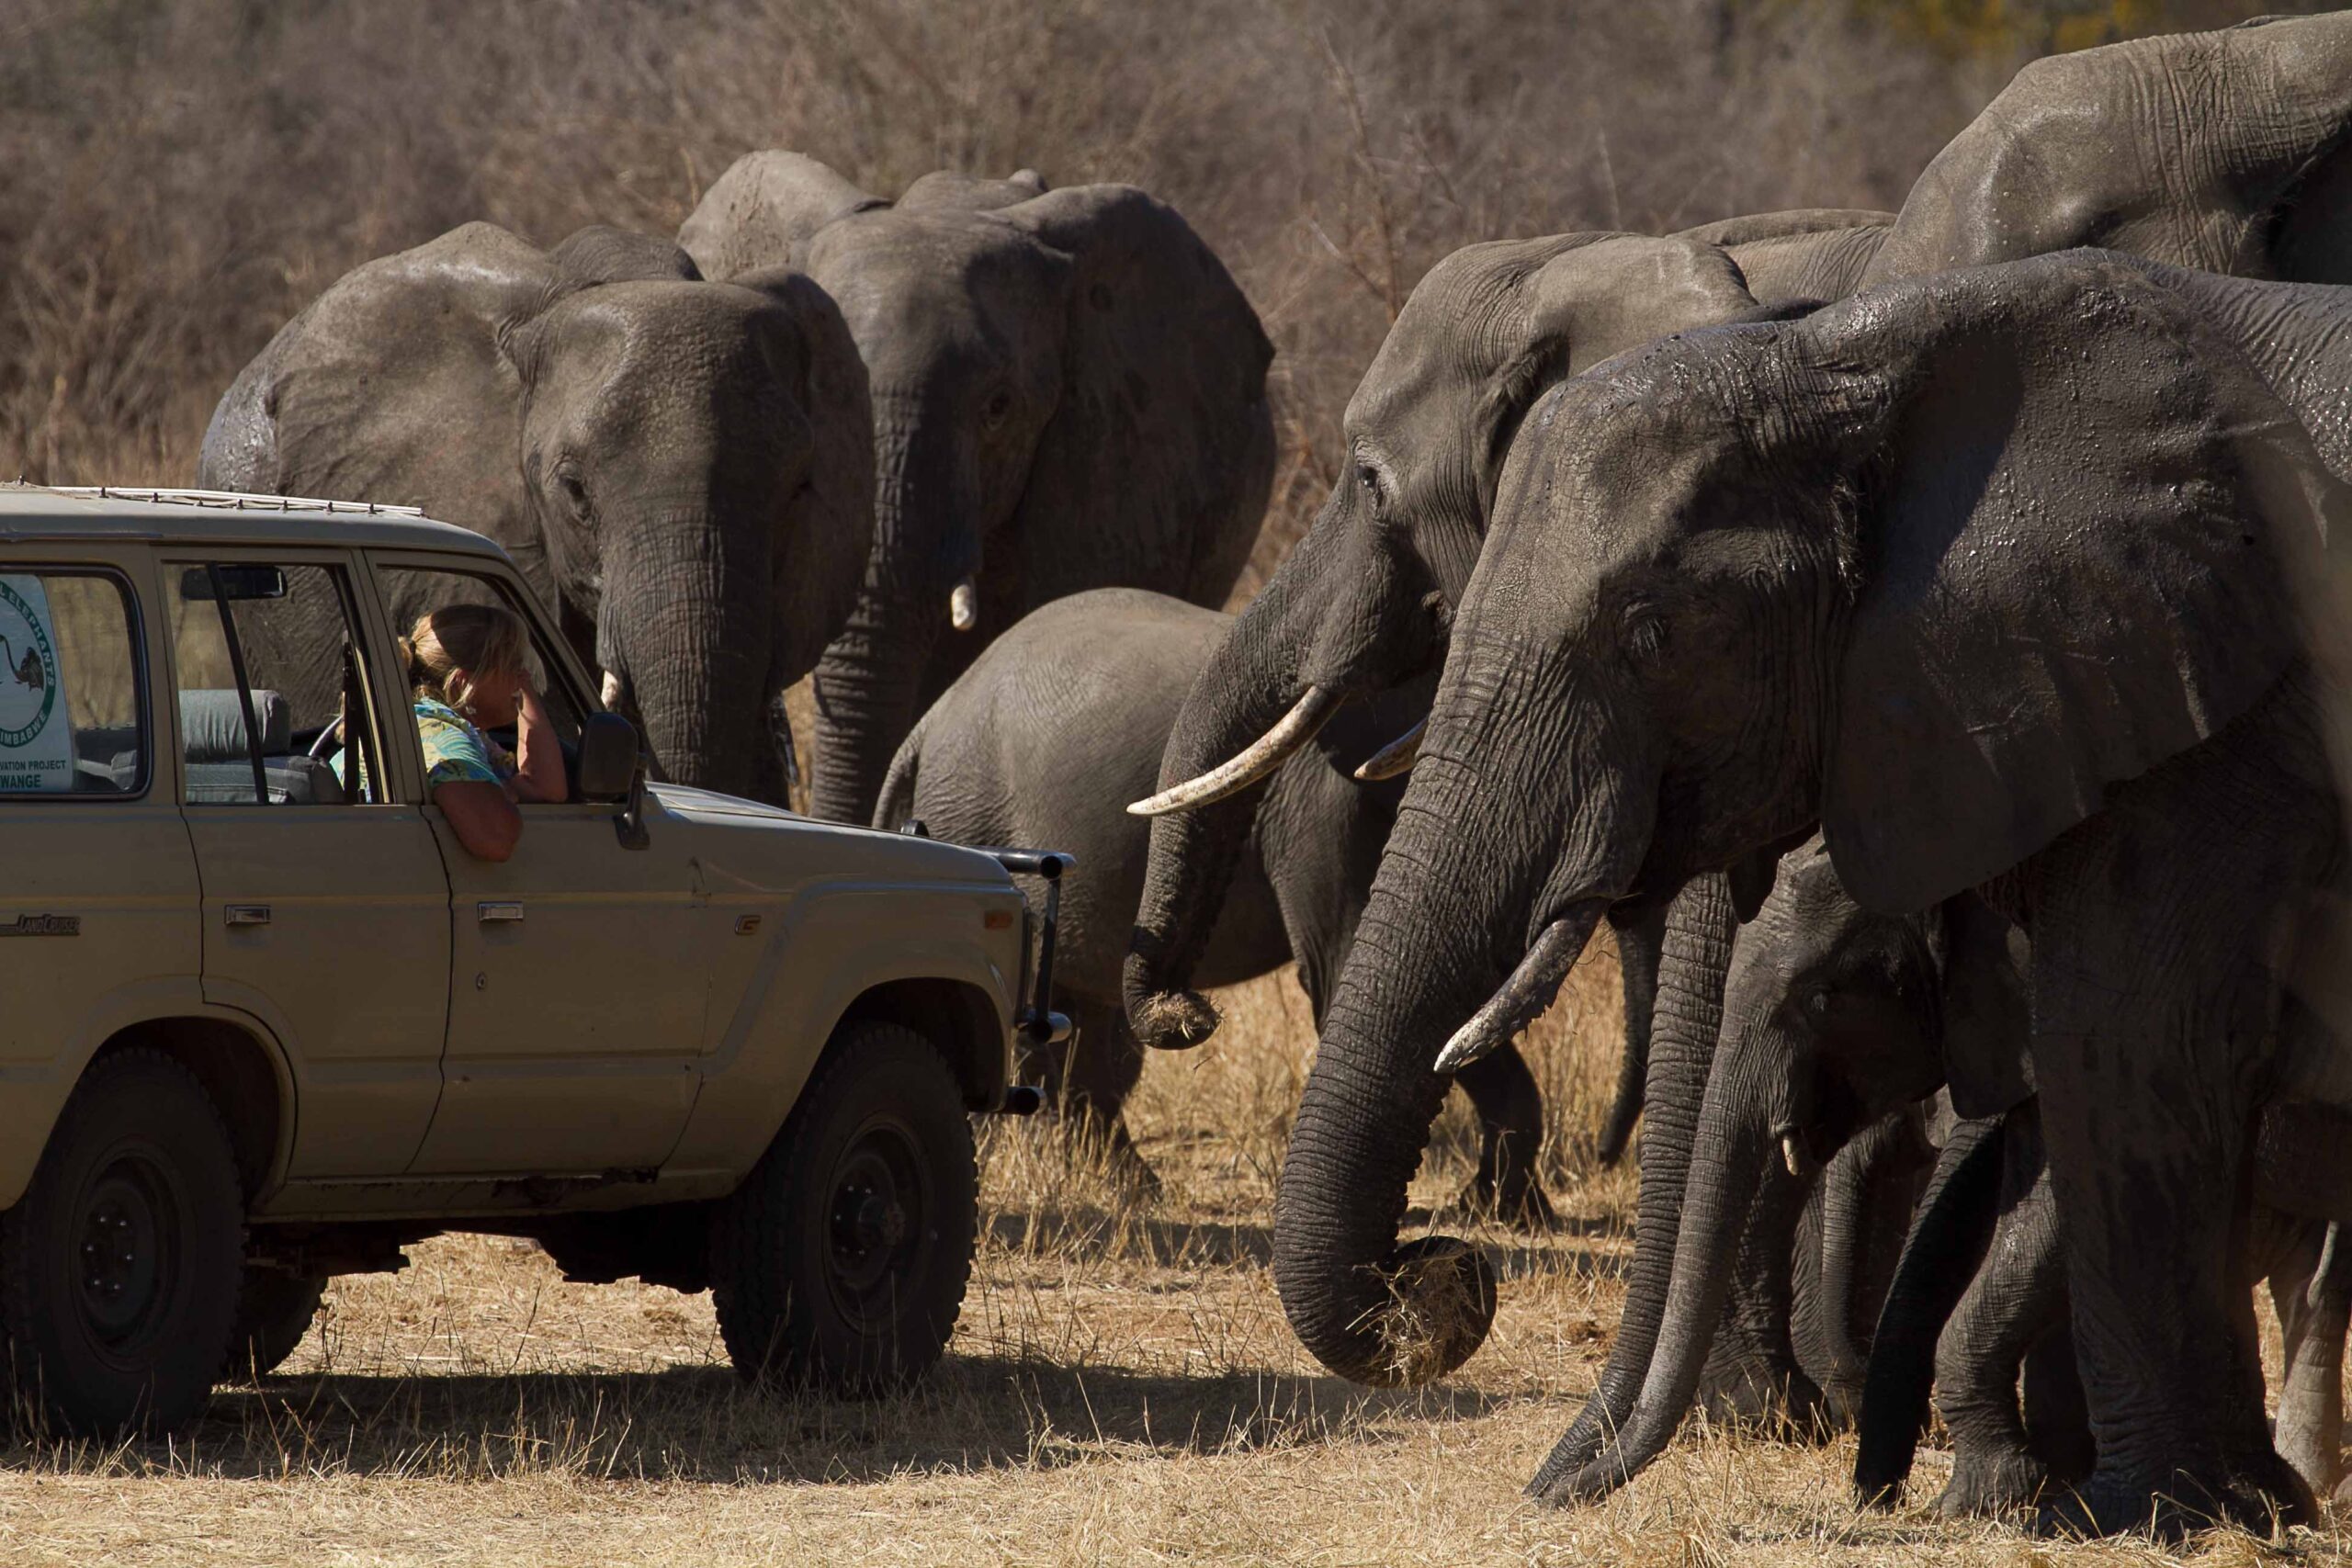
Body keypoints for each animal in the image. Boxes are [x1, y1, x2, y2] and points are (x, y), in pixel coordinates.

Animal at [875, 585, 1571, 1213]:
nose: (1196, 1013)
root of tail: (927, 725)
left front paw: (1507, 1210)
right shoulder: (1318, 796)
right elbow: (1353, 969)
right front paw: (1494, 1207)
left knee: (1083, 1012)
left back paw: (1132, 1187)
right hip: (976, 817)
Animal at [1270, 245, 2352, 1532]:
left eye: (1653, 632)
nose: (1440, 1266)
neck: (1846, 364)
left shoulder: (2218, 698)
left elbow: (2124, 1047)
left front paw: (2166, 1515)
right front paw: (2227, 1504)